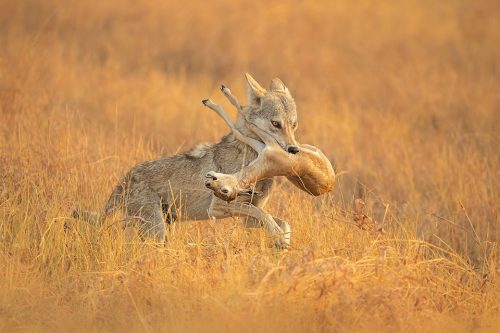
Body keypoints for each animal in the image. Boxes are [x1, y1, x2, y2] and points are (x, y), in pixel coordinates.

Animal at [73, 74, 332, 248]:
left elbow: (280, 222)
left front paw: (281, 241)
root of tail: (125, 178)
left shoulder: (248, 218)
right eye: (275, 124)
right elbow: (267, 217)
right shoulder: (218, 207)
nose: (293, 150)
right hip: (156, 233)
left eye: (294, 125)